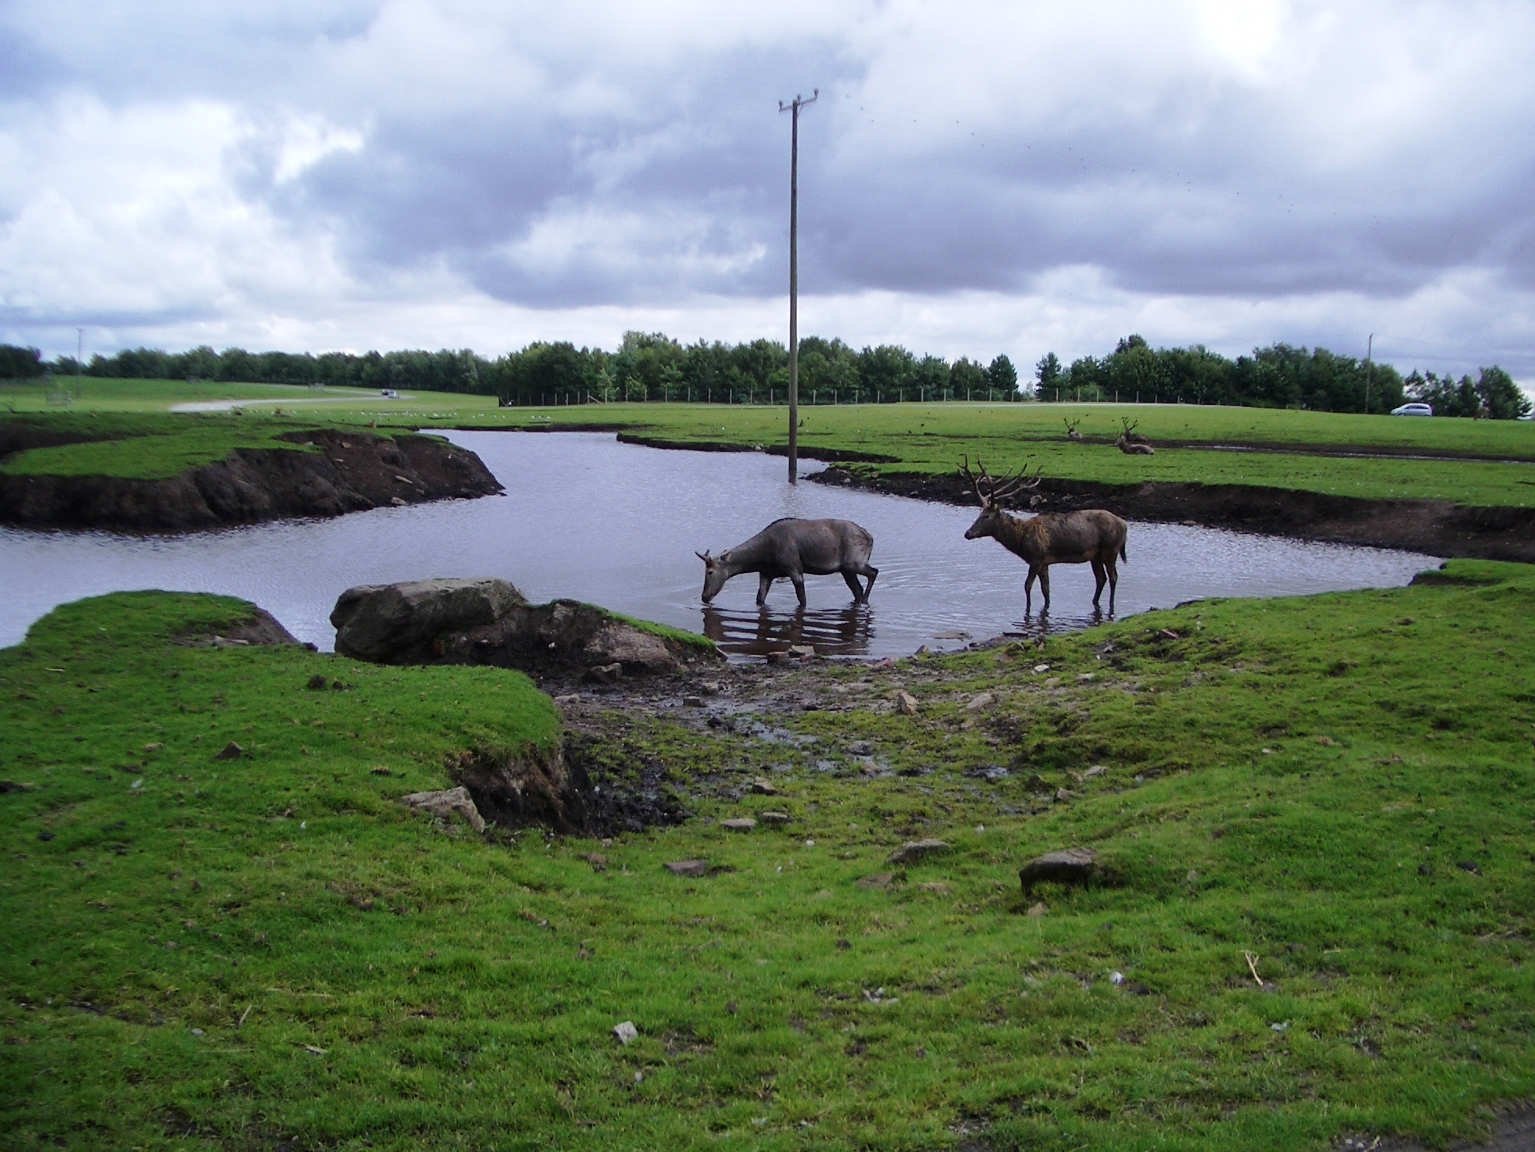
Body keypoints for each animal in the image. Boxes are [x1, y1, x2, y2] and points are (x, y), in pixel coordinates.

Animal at [697, 518, 878, 608]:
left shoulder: (794, 568)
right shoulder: (766, 574)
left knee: (873, 572)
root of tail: (870, 537)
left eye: (710, 571)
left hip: (854, 562)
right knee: (857, 589)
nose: (704, 596)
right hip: (846, 569)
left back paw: (866, 601)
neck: (763, 557)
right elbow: (760, 599)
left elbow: (802, 599)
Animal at [959, 456, 1128, 616]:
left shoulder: (1037, 558)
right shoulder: (1044, 562)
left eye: (986, 516)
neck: (1021, 540)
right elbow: (1046, 589)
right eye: (979, 513)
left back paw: (1111, 606)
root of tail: (1124, 524)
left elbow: (1027, 586)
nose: (967, 533)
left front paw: (1027, 610)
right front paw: (1046, 608)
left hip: (1111, 549)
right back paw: (1094, 602)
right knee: (1101, 578)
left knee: (1113, 577)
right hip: (1095, 555)